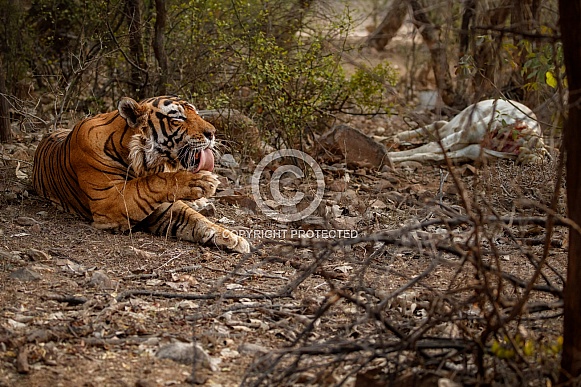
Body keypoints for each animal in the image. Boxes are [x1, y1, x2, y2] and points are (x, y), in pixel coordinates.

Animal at [31, 95, 249, 255]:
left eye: (196, 112)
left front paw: (234, 239)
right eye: (178, 119)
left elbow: (198, 220)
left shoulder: (164, 207)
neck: (143, 163)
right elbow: (150, 183)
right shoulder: (111, 200)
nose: (212, 133)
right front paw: (201, 181)